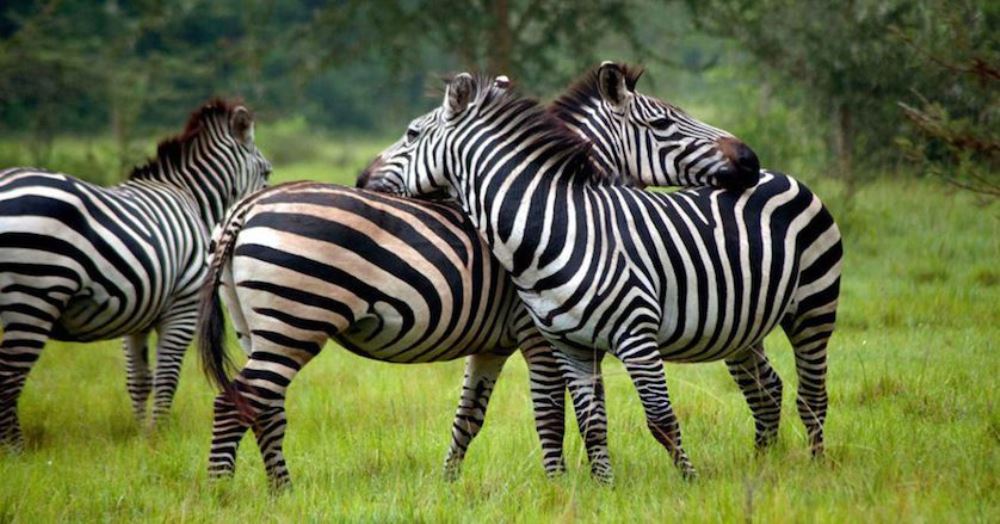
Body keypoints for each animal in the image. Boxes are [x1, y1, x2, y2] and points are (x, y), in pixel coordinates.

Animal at [0, 99, 271, 450]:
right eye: (267, 172)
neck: (192, 199)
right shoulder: (182, 306)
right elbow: (168, 377)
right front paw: (160, 435)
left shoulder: (139, 310)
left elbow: (140, 380)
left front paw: (144, 437)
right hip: (33, 296)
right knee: (9, 379)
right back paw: (16, 450)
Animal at [365, 72, 842, 480]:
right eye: (663, 121)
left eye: (411, 134)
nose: (749, 160)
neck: (554, 222)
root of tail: (782, 176)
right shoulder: (554, 342)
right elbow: (572, 418)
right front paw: (589, 485)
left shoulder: (595, 336)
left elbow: (579, 415)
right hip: (741, 326)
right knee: (767, 389)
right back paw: (765, 463)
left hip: (811, 308)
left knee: (809, 394)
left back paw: (811, 465)